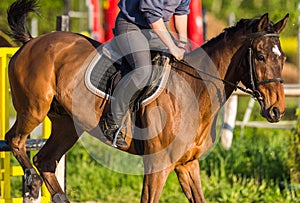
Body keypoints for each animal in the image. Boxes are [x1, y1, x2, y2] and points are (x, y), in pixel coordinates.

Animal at [4, 0, 288, 202]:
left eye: (283, 58)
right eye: (260, 56)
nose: (277, 111)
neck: (195, 92)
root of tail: (32, 41)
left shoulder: (187, 165)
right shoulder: (158, 166)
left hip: (67, 125)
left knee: (46, 160)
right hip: (33, 109)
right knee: (15, 141)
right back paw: (31, 179)